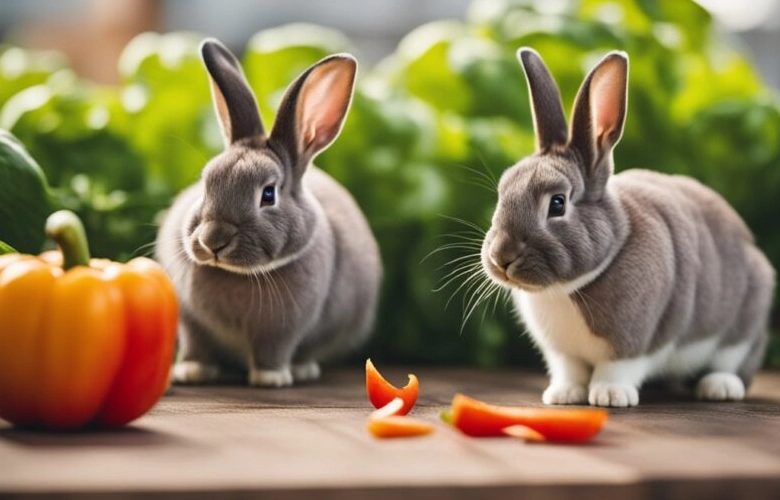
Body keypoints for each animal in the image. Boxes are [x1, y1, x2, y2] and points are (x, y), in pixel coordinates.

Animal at [155, 39, 382, 388]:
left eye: (269, 194)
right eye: (205, 183)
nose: (213, 240)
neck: (237, 275)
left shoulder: (284, 328)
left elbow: (273, 350)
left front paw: (271, 378)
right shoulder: (193, 322)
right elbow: (196, 345)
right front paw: (192, 372)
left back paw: (301, 370)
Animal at [480, 47, 776, 407]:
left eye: (558, 203)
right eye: (502, 191)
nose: (501, 257)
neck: (567, 288)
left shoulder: (634, 341)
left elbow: (618, 368)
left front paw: (609, 395)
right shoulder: (562, 352)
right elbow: (570, 370)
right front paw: (563, 395)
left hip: (742, 330)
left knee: (736, 363)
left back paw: (719, 387)